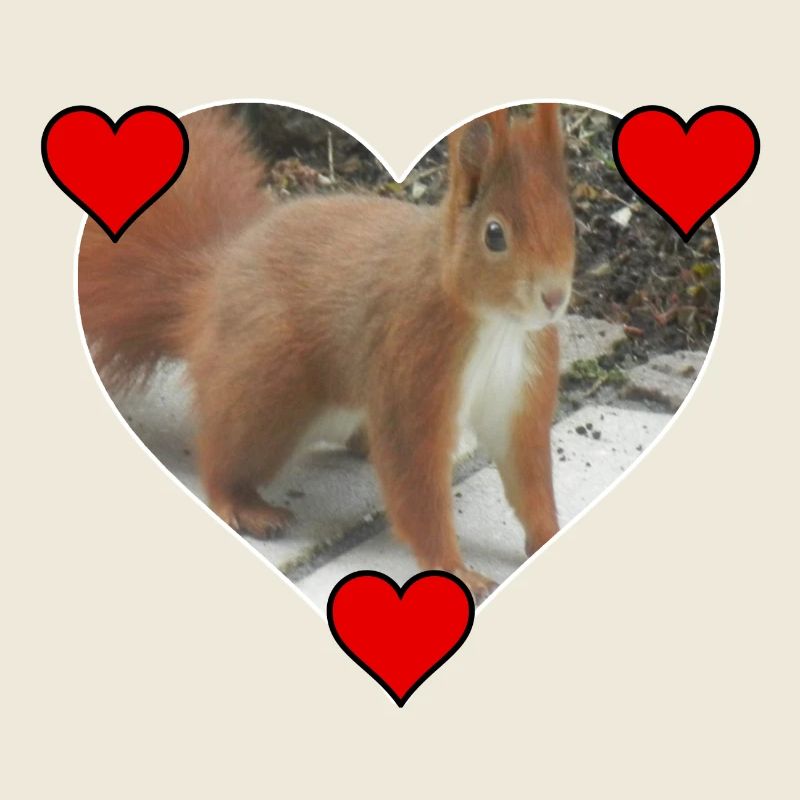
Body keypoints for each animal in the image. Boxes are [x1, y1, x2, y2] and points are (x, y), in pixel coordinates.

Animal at [79, 104, 575, 599]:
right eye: (495, 235)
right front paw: (455, 568)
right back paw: (244, 504)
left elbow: (527, 470)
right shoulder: (412, 357)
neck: (498, 325)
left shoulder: (522, 387)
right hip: (266, 387)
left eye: (568, 221)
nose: (554, 297)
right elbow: (413, 471)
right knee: (224, 455)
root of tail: (209, 287)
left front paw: (548, 536)